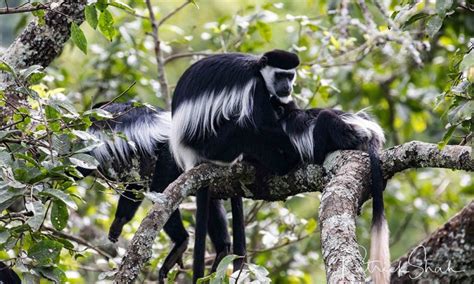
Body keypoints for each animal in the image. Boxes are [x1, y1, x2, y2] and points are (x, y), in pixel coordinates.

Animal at [170, 49, 300, 282]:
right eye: (279, 75)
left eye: (290, 75)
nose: (287, 87)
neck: (258, 69)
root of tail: (189, 152)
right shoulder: (255, 88)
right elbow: (264, 124)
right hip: (215, 144)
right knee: (245, 126)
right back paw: (283, 164)